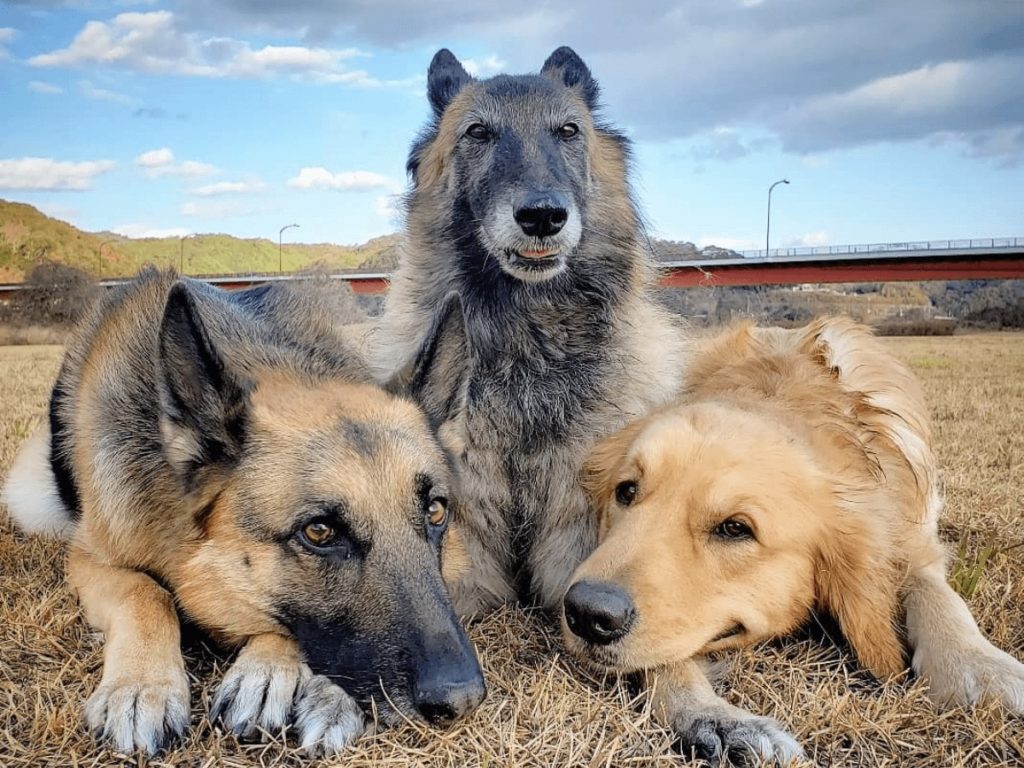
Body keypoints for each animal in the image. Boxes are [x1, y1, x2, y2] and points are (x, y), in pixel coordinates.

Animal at [1, 270, 483, 757]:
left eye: (435, 511)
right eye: (320, 532)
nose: (462, 699)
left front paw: (281, 677)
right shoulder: (90, 559)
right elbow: (144, 592)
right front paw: (141, 687)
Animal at [368, 49, 815, 765]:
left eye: (568, 131)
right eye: (478, 133)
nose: (542, 215)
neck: (526, 346)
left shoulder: (590, 557)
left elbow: (656, 642)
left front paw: (711, 714)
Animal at [561, 317, 1024, 765]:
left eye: (735, 528)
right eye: (626, 491)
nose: (586, 612)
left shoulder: (911, 534)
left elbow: (937, 593)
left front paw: (981, 668)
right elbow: (664, 661)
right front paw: (714, 718)